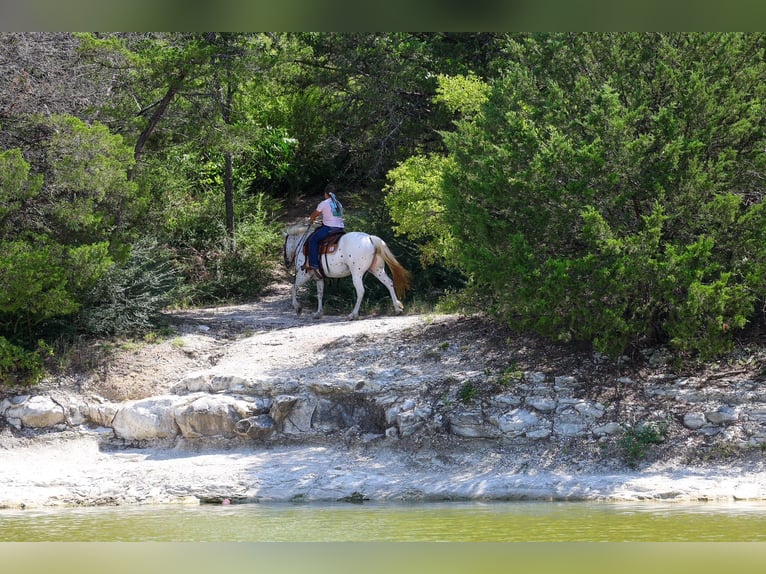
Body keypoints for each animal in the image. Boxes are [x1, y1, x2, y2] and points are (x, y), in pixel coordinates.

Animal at [283, 223, 411, 320]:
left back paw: (353, 314)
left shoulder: (304, 274)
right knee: (389, 283)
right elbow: (320, 294)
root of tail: (369, 238)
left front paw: (298, 308)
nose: (286, 262)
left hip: (357, 274)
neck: (303, 244)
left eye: (284, 246)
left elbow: (293, 287)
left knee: (361, 291)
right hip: (377, 270)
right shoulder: (319, 278)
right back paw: (397, 308)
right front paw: (318, 313)